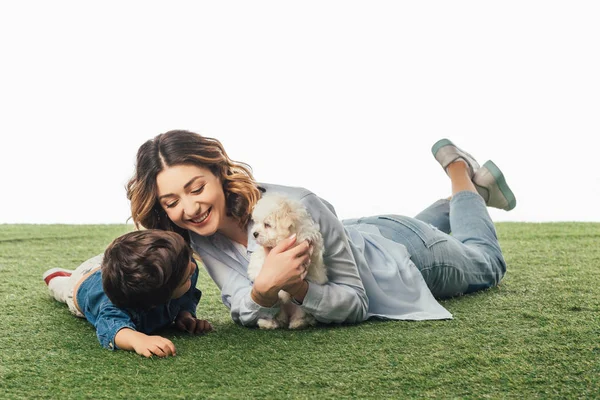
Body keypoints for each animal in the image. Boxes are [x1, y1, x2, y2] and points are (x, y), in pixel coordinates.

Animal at [246, 192, 326, 330]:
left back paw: (297, 323)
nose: (254, 233)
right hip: (276, 305)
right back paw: (268, 323)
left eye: (267, 224)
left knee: (300, 314)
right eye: (256, 222)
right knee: (276, 316)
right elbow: (260, 257)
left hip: (300, 306)